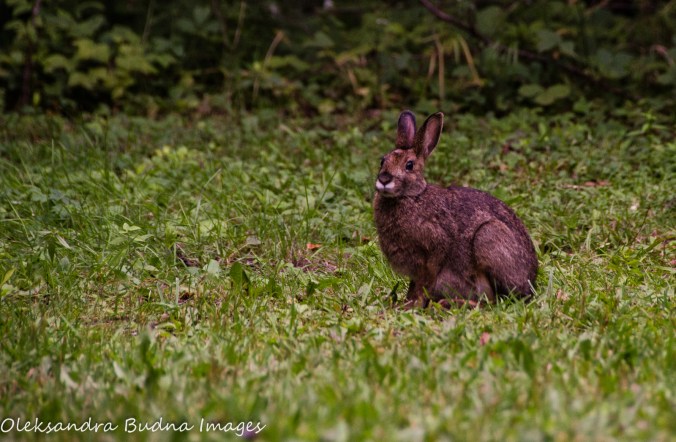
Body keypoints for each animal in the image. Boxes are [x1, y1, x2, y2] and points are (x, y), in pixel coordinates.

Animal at [373, 110, 538, 309]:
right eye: (382, 161)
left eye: (409, 165)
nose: (384, 179)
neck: (412, 196)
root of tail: (531, 281)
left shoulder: (434, 248)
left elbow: (425, 280)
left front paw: (413, 305)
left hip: (488, 236)